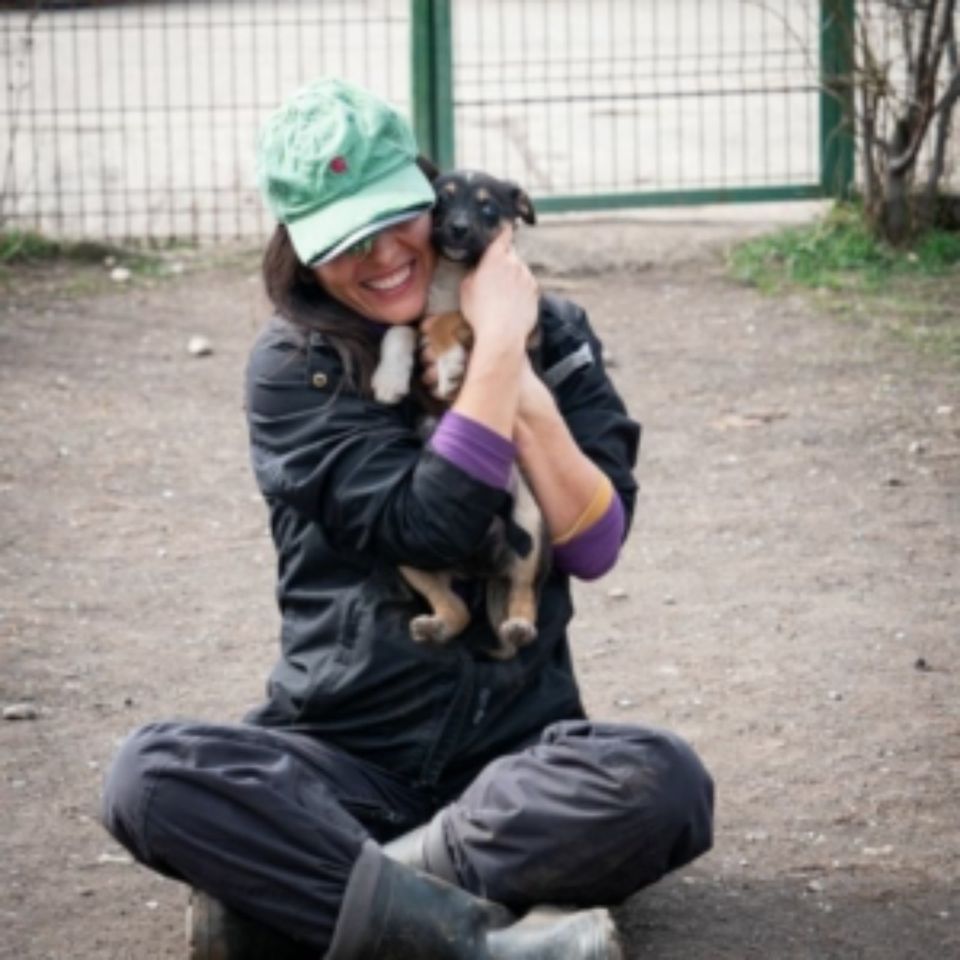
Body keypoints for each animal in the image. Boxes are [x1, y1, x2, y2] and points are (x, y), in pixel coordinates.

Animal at [372, 169, 544, 656]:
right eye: (441, 201)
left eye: (487, 206)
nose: (458, 229)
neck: (452, 274)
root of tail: (477, 566)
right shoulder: (413, 320)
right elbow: (398, 329)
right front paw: (389, 379)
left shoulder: (518, 323)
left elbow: (453, 319)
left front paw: (449, 366)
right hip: (404, 552)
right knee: (458, 610)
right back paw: (436, 627)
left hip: (531, 526)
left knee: (525, 593)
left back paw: (519, 626)